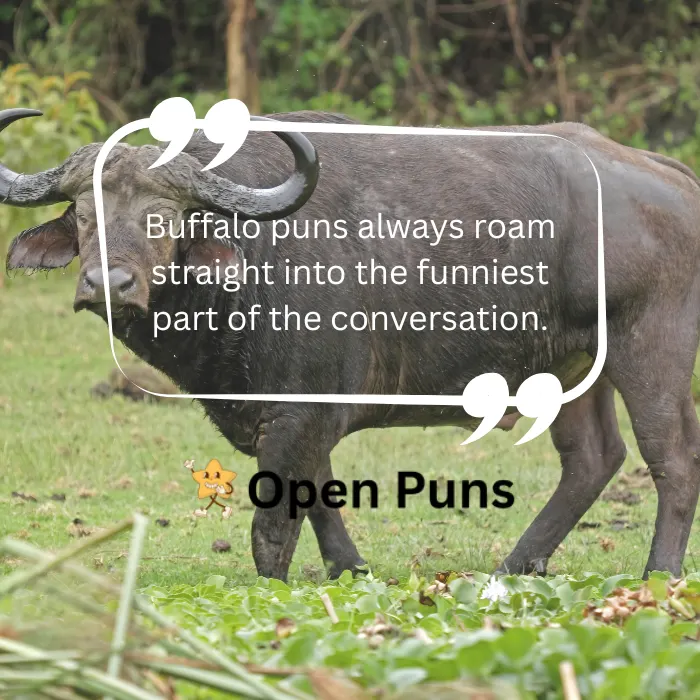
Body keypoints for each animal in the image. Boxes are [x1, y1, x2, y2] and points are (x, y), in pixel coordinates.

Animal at [4, 106, 700, 581]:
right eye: (84, 213)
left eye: (162, 216)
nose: (108, 283)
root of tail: (672, 179)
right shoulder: (294, 419)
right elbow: (320, 501)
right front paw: (349, 569)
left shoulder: (299, 415)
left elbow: (273, 526)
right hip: (569, 369)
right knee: (592, 459)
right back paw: (514, 566)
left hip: (650, 352)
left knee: (672, 462)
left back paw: (658, 575)